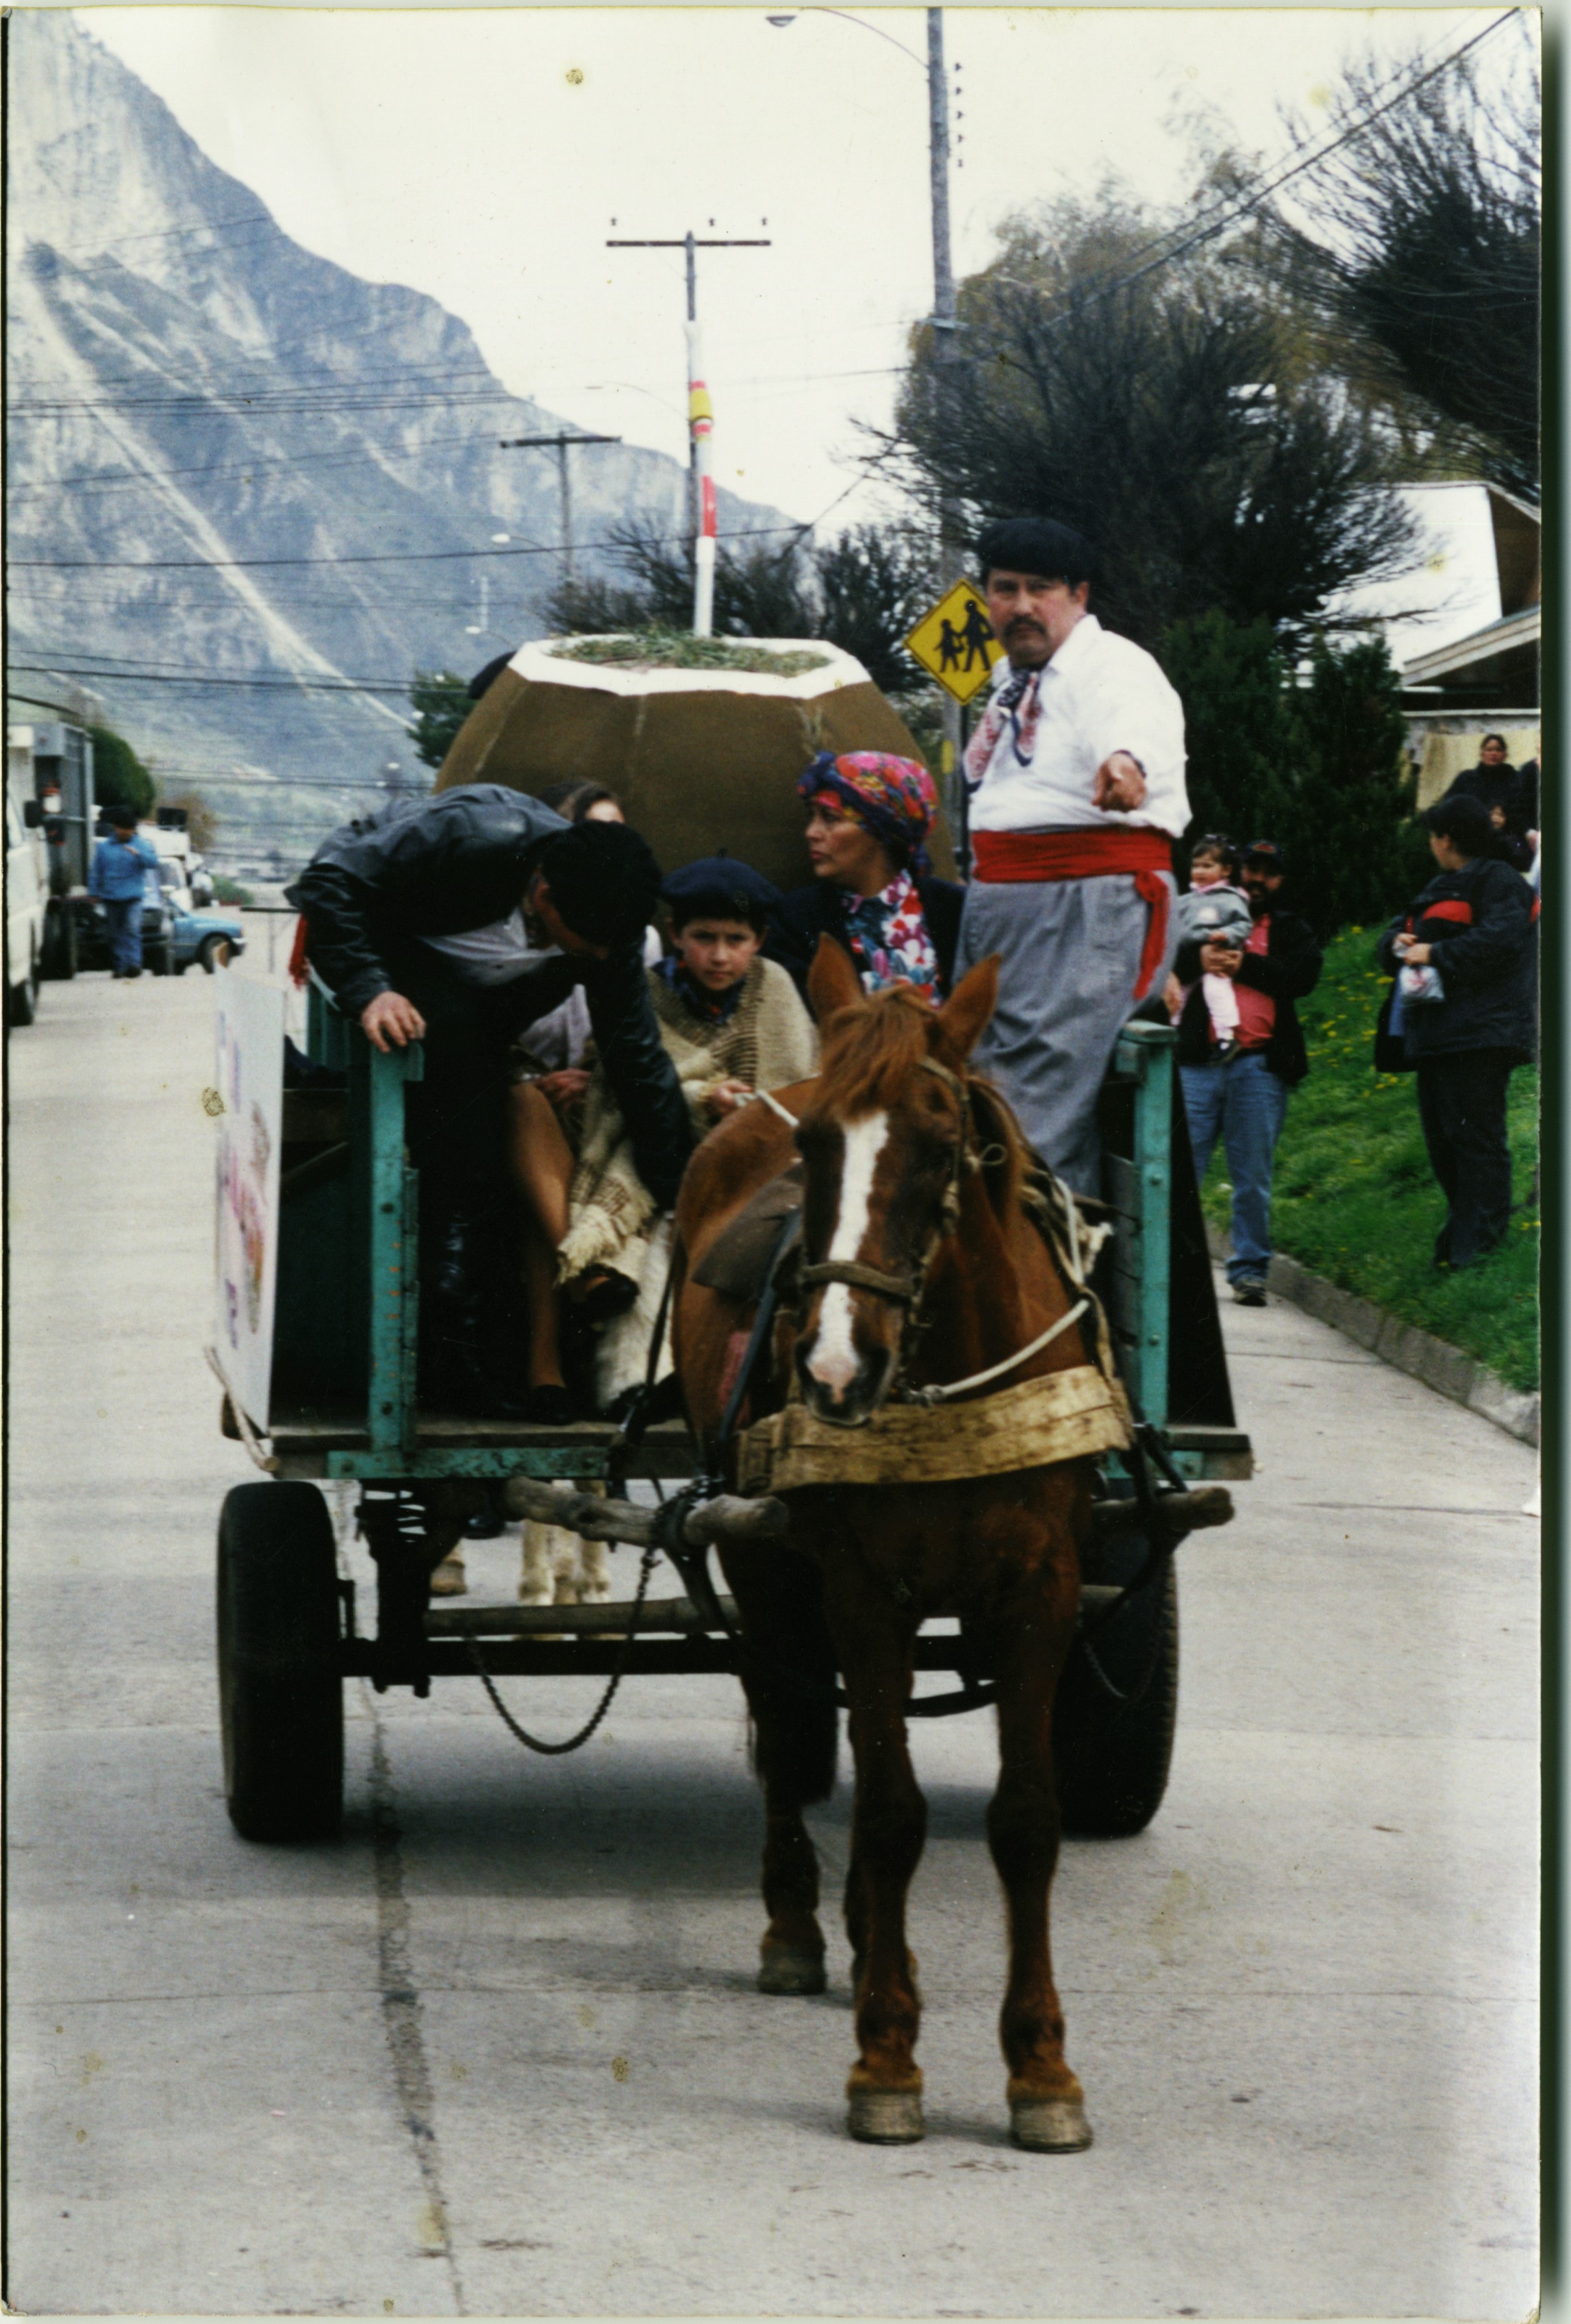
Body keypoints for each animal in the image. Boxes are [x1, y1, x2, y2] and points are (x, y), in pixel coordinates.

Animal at [669, 934, 1097, 2147]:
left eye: (943, 1142)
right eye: (815, 1141)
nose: (831, 1365)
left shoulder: (1040, 1587)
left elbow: (1026, 1816)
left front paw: (1040, 2067)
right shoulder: (864, 1588)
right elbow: (894, 1809)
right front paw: (886, 2054)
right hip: (767, 1563)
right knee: (785, 1715)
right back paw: (801, 1930)